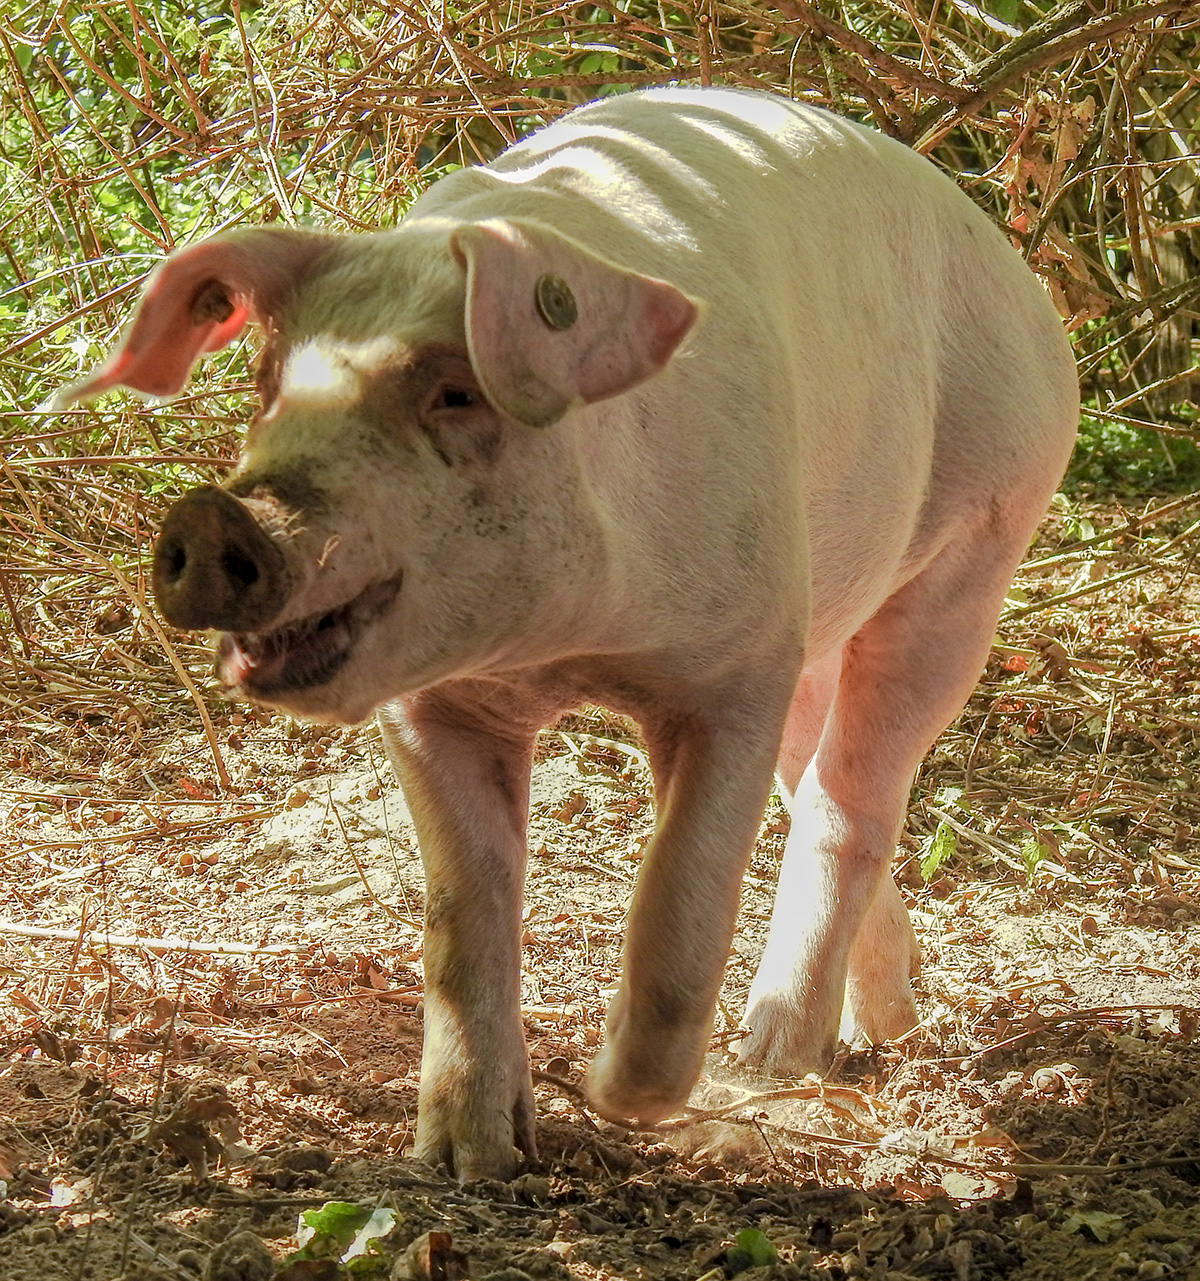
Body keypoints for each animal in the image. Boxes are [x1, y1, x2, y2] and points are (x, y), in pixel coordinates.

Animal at [53, 82, 1075, 1178]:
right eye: (267, 383)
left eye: (455, 391)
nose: (215, 518)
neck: (565, 648)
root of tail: (1026, 289)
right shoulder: (435, 705)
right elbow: (463, 914)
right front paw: (469, 1161)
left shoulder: (738, 666)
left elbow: (682, 900)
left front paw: (610, 1094)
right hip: (822, 619)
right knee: (825, 786)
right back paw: (881, 1030)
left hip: (976, 546)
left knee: (857, 798)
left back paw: (773, 1058)